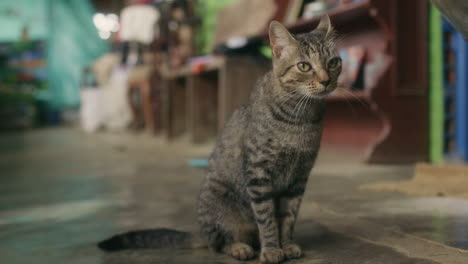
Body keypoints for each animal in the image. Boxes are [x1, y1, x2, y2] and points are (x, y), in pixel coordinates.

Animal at [98, 14, 340, 264]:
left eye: (333, 63)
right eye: (304, 66)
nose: (326, 81)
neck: (301, 117)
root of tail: (201, 232)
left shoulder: (298, 178)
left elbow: (288, 217)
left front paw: (288, 244)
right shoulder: (258, 173)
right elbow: (267, 219)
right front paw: (272, 249)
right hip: (218, 202)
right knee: (218, 243)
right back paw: (239, 248)